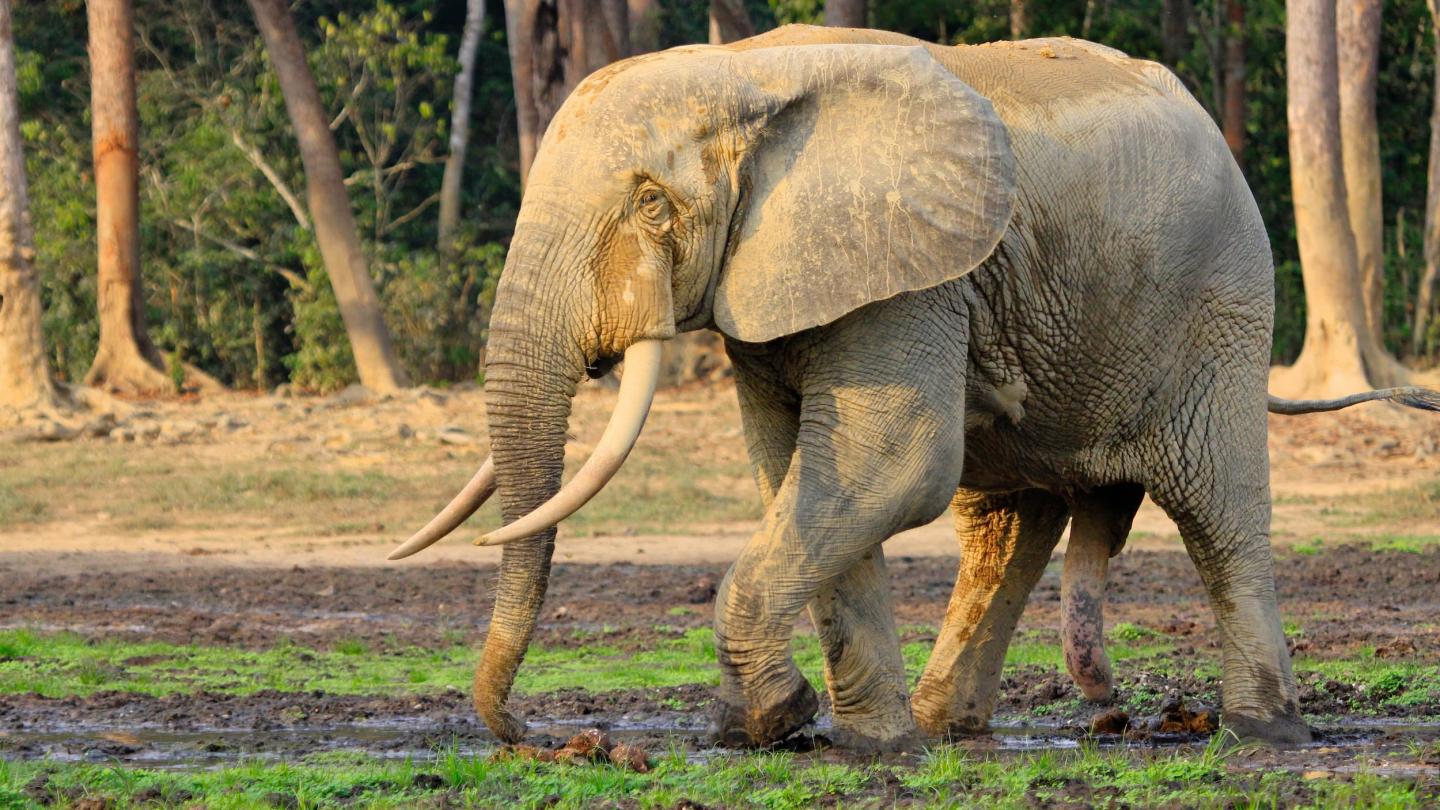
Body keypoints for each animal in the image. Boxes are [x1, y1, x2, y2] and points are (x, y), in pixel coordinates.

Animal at [388, 25, 1440, 751]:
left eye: (651, 204)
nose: (545, 736)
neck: (749, 72)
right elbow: (805, 476)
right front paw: (862, 743)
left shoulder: (909, 272)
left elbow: (886, 466)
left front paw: (776, 722)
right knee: (1005, 523)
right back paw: (944, 727)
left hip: (1219, 306)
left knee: (1217, 515)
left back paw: (1263, 733)